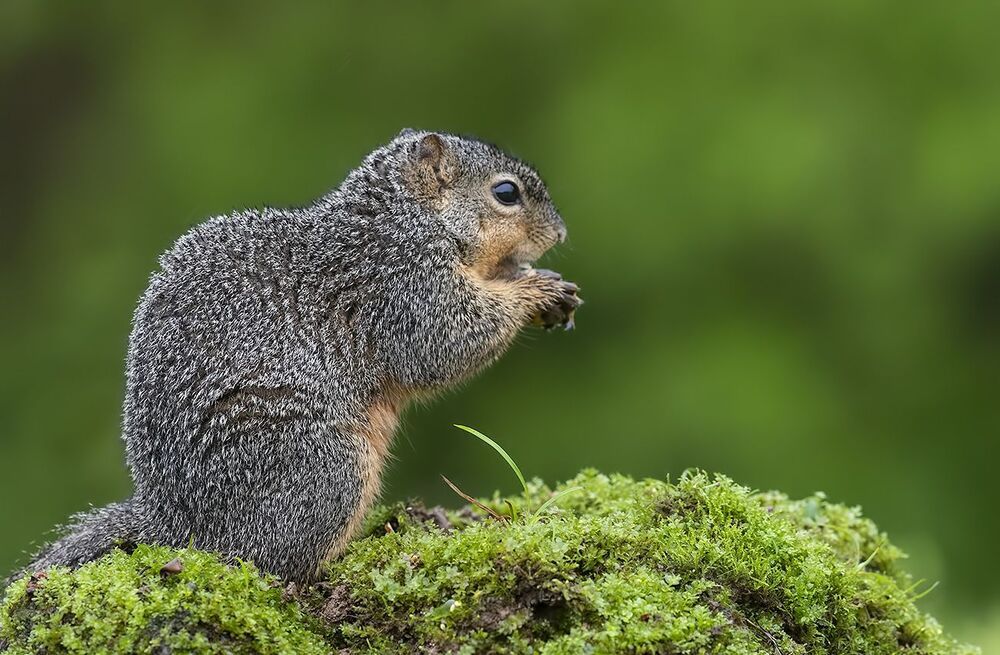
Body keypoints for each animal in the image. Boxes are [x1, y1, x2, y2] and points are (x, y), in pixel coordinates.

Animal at [13, 129, 580, 584]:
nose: (561, 234)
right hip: (325, 467)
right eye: (505, 193)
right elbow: (444, 342)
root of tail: (177, 523)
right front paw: (535, 290)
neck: (408, 218)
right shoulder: (400, 283)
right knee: (270, 560)